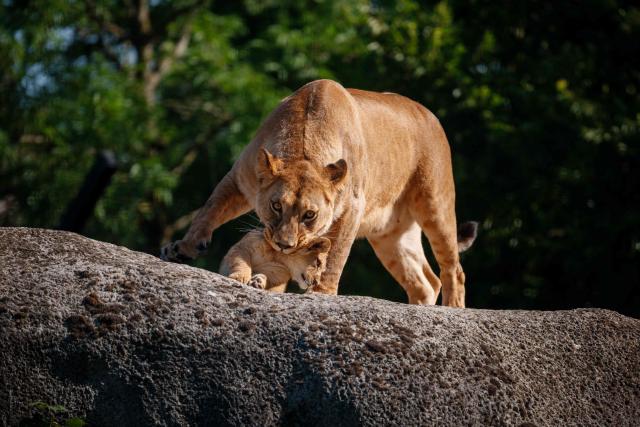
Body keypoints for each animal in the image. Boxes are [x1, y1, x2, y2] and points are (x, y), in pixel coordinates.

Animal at [162, 79, 477, 307]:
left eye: (309, 215)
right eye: (276, 206)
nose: (284, 246)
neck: (304, 143)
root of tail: (429, 113)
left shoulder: (352, 209)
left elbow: (335, 254)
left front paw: (322, 292)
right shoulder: (238, 179)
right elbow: (208, 211)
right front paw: (182, 248)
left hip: (435, 204)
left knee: (453, 270)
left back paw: (451, 311)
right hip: (389, 235)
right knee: (426, 281)